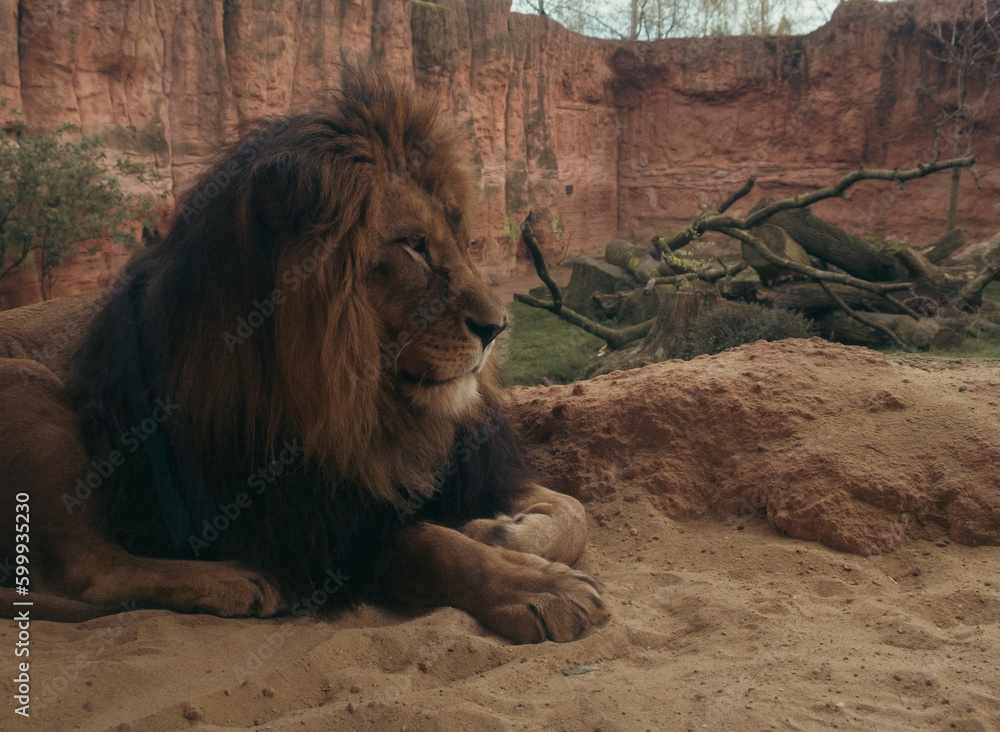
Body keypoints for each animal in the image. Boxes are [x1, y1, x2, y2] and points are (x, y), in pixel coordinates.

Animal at [0, 67, 607, 643]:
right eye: (412, 245)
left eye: (461, 240)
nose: (497, 326)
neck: (372, 409)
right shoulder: (314, 530)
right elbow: (434, 547)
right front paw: (537, 587)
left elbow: (573, 512)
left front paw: (502, 529)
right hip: (25, 381)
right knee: (89, 572)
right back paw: (238, 581)